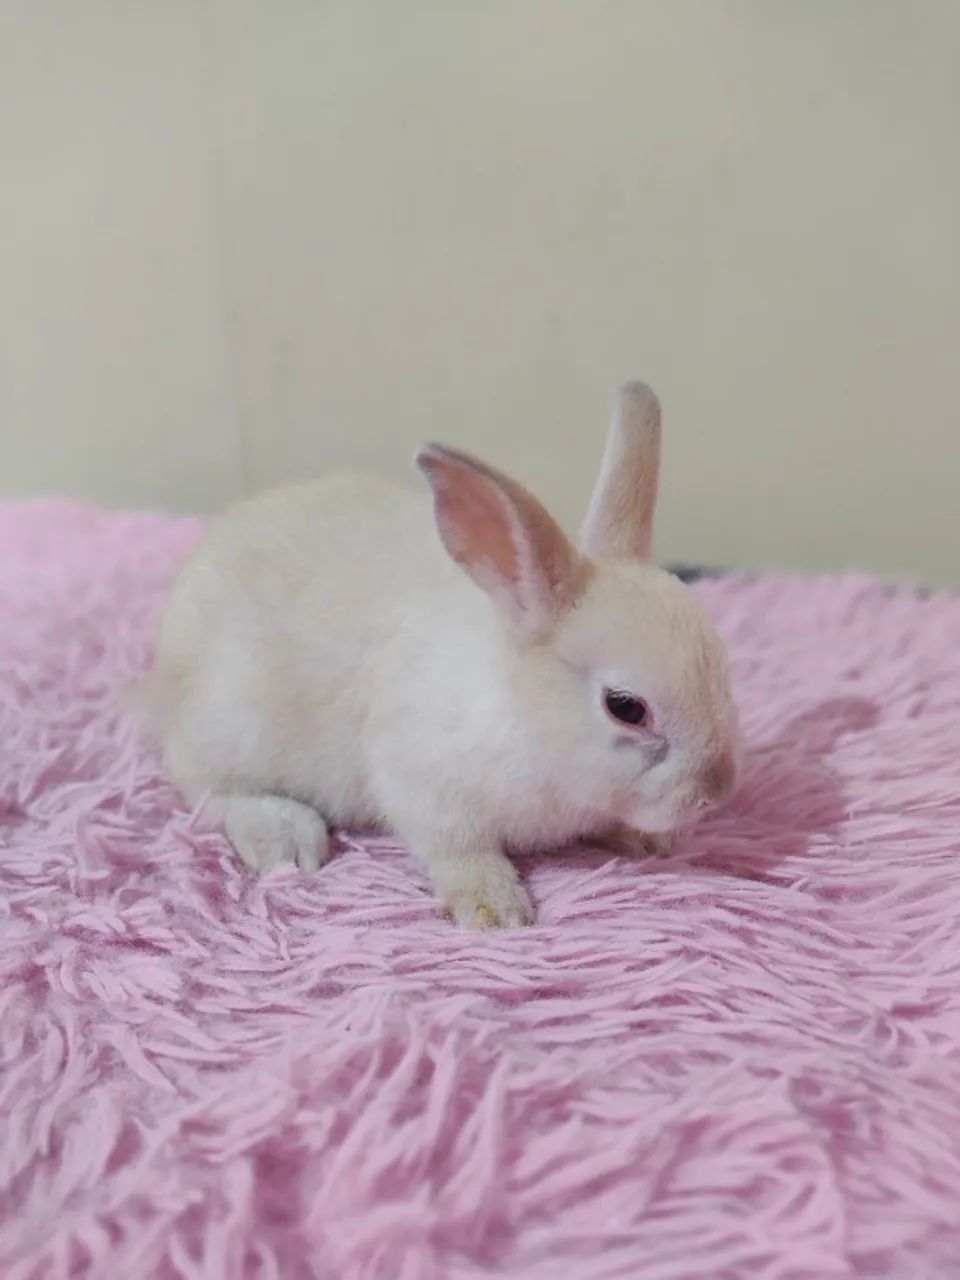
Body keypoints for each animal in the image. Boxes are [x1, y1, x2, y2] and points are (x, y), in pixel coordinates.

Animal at [142, 381, 739, 927]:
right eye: (625, 707)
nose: (715, 795)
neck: (522, 709)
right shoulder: (421, 784)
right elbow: (457, 850)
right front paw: (494, 908)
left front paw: (645, 841)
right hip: (233, 724)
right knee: (202, 785)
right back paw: (286, 838)